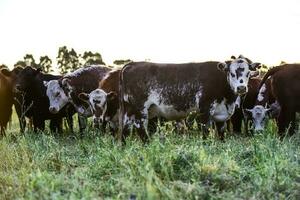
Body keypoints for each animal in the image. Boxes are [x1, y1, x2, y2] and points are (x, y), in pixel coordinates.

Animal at [117, 55, 260, 141]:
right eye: (232, 73)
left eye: (248, 73)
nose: (241, 88)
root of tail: (131, 64)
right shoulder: (205, 109)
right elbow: (206, 131)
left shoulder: (221, 116)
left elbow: (221, 133)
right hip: (140, 109)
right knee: (140, 126)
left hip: (128, 110)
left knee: (125, 129)